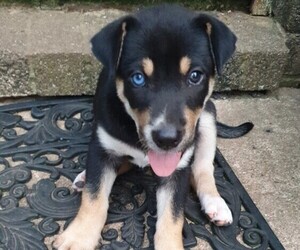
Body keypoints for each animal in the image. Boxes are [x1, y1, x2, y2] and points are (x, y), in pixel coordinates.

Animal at [55, 4, 240, 250]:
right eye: (138, 78)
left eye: (195, 76)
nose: (167, 139)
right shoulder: (101, 146)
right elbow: (94, 197)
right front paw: (78, 237)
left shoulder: (178, 167)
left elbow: (172, 216)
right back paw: (85, 177)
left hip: (208, 118)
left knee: (202, 168)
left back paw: (215, 203)